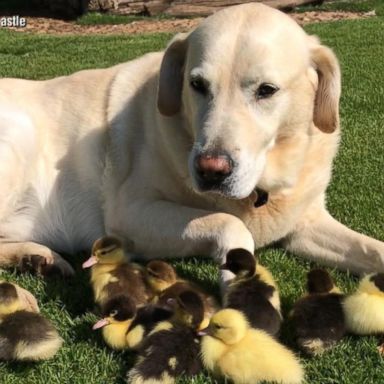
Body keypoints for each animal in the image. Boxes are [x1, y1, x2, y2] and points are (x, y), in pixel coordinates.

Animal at [0, 3, 384, 282]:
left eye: (266, 90)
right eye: (197, 85)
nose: (211, 171)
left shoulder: (305, 224)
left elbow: (373, 250)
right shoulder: (129, 213)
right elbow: (229, 223)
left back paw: (35, 258)